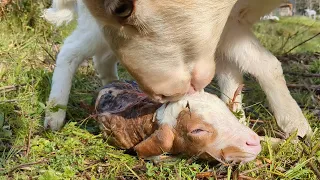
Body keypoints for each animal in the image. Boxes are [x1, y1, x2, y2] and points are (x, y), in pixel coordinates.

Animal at [42, 0, 310, 139]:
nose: (163, 94)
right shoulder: (224, 25)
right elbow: (266, 64)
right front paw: (298, 126)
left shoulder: (227, 27)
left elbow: (232, 74)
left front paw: (236, 120)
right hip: (98, 29)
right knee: (70, 50)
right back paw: (54, 117)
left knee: (102, 59)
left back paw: (114, 88)